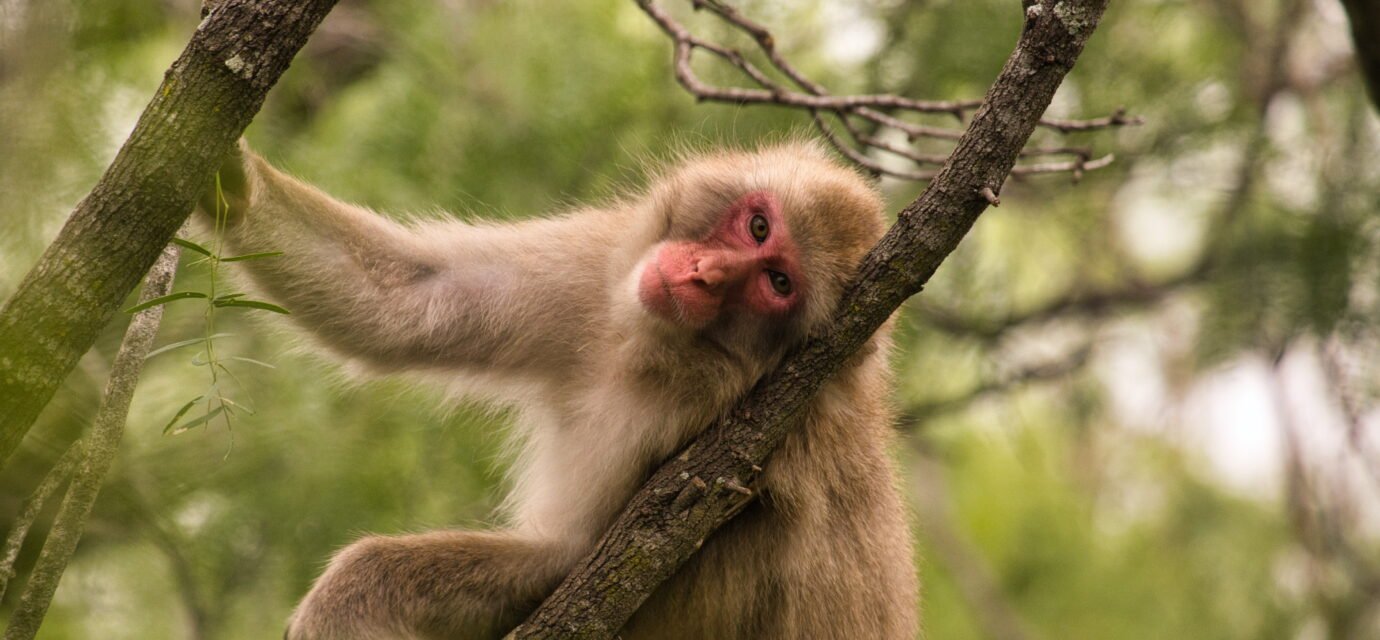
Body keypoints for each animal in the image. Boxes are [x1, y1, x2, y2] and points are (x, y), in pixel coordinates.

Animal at [198, 139, 919, 639]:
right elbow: (411, 301)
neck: (651, 349)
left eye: (776, 283)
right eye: (759, 227)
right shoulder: (595, 268)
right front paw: (229, 178)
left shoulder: (716, 432)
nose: (705, 275)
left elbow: (591, 566)